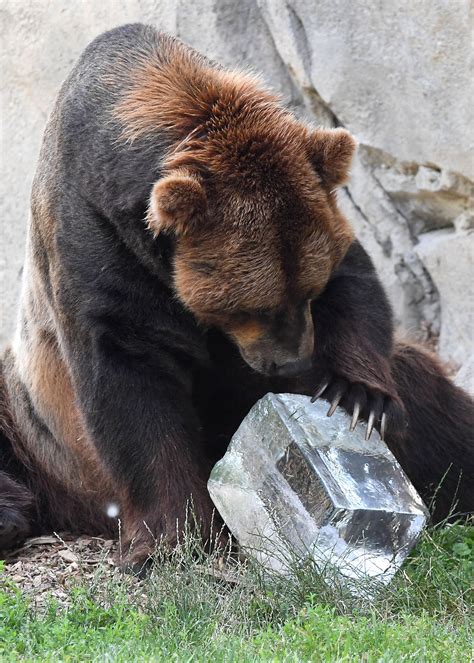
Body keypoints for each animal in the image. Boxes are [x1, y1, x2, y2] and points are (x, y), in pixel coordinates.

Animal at [0, 23, 472, 568]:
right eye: (252, 306)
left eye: (308, 290)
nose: (291, 363)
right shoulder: (94, 237)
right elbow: (129, 381)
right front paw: (170, 537)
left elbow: (357, 287)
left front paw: (358, 396)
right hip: (31, 427)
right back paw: (11, 517)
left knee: (433, 403)